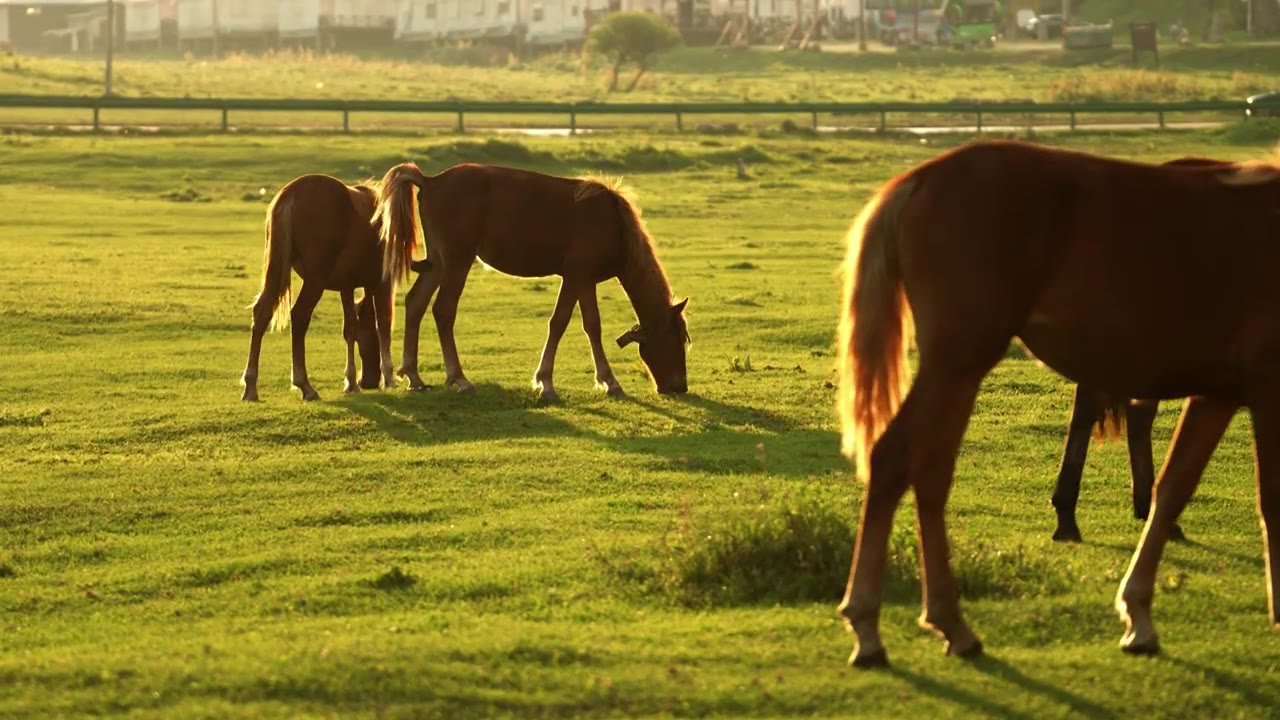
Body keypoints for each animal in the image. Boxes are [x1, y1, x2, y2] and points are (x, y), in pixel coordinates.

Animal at [238, 171, 401, 399]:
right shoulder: (380, 284)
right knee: (299, 316)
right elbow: (383, 324)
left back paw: (251, 386)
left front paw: (351, 382)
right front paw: (389, 378)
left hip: (278, 270)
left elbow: (350, 327)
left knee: (262, 313)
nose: (368, 381)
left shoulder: (347, 286)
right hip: (315, 280)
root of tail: (290, 194)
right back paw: (305, 385)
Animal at [371, 159, 691, 399]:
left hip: (438, 264)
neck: (613, 224)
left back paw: (413, 375)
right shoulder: (574, 276)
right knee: (443, 310)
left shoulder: (585, 281)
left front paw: (609, 381)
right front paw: (545, 382)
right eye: (678, 340)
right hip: (457, 262)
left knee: (415, 303)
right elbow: (559, 322)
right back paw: (458, 377)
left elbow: (592, 325)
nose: (679, 387)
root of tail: (431, 180)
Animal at [839, 141, 1280, 666]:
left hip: (957, 369)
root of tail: (922, 177)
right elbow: (1270, 499)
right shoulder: (1267, 389)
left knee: (917, 468)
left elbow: (1173, 489)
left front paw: (1138, 617)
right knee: (907, 463)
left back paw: (925, 623)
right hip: (958, 363)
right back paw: (894, 625)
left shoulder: (1216, 395)